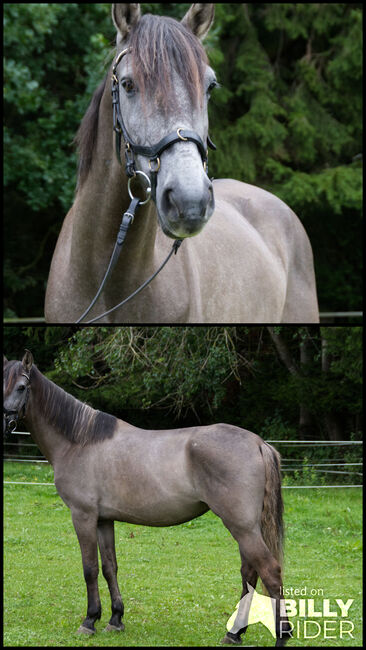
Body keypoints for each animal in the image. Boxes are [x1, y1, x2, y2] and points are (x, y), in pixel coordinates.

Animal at [3, 352, 292, 644]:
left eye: (22, 387)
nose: (4, 424)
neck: (79, 441)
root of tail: (258, 443)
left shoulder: (82, 516)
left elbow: (90, 568)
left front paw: (89, 620)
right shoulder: (103, 520)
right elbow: (109, 567)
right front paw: (115, 619)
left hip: (241, 526)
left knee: (269, 571)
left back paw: (281, 634)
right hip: (246, 528)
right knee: (250, 573)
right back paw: (234, 633)